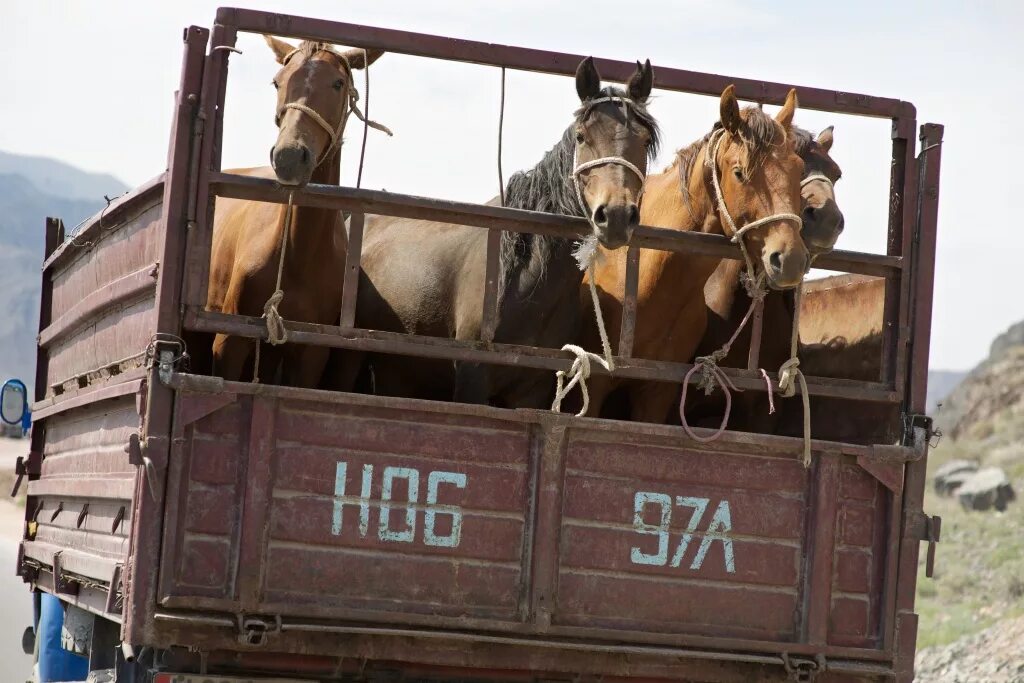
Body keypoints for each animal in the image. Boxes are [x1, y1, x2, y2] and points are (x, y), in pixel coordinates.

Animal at [205, 37, 382, 387]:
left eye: (338, 83)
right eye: (277, 82)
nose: (289, 156)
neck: (297, 254)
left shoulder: (309, 355)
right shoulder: (228, 342)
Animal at [329, 57, 663, 405]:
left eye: (645, 140)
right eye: (582, 136)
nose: (615, 215)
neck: (522, 277)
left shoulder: (531, 392)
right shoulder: (472, 379)